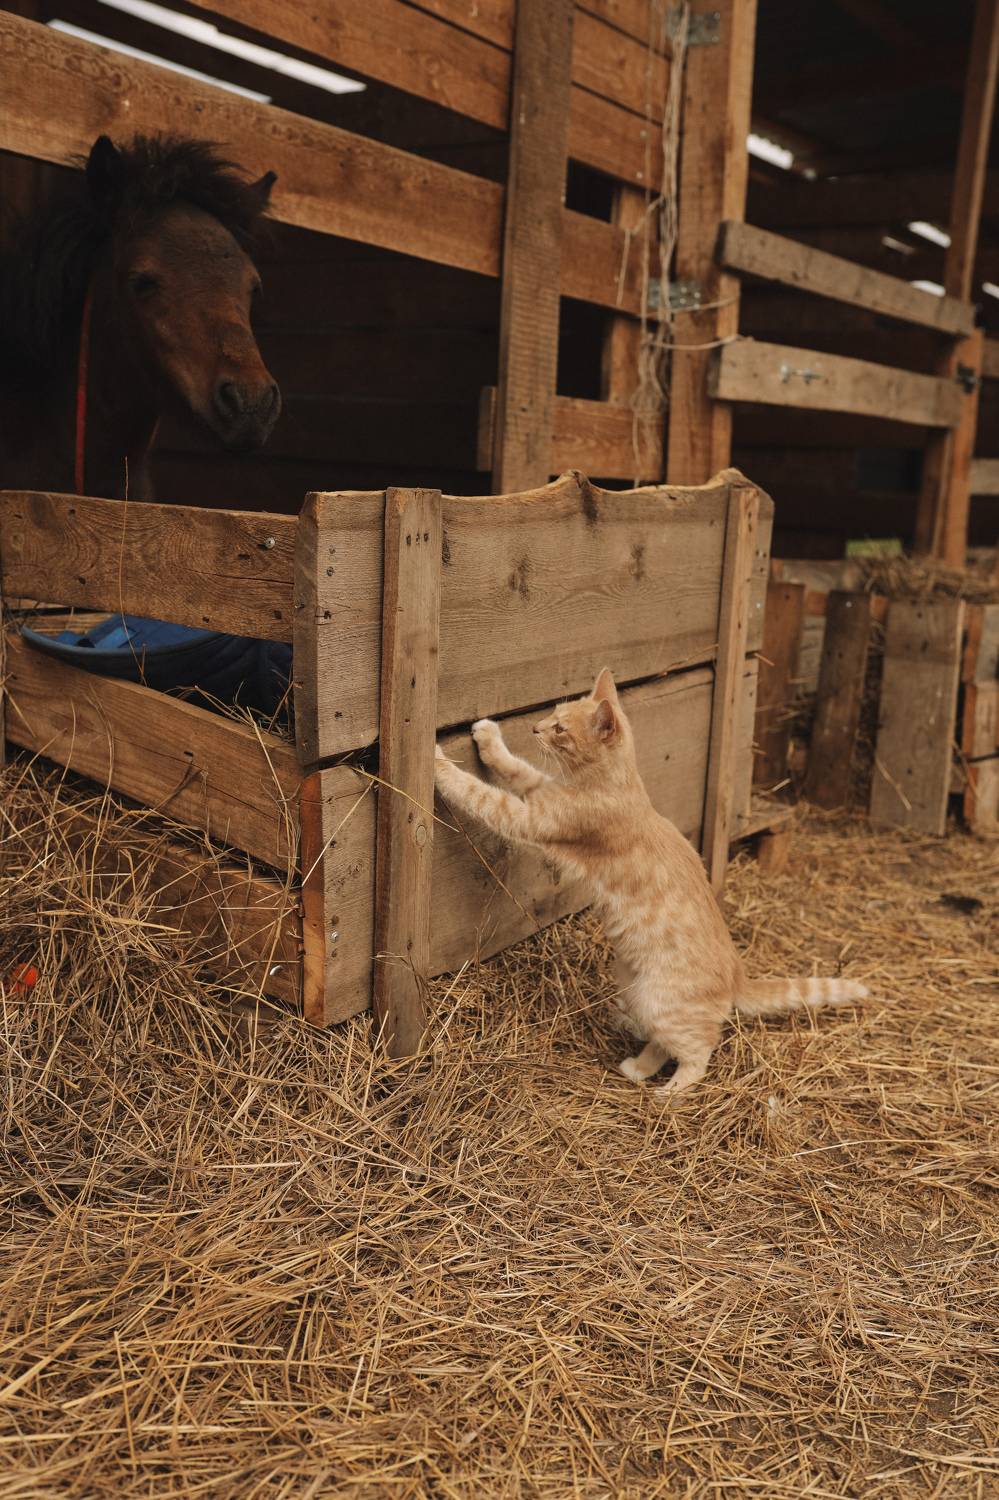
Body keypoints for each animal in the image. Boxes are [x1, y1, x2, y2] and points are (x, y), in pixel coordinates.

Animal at [434, 668, 867, 1096]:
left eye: (560, 728)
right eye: (553, 713)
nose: (536, 728)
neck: (613, 784)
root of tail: (737, 973)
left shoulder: (531, 819)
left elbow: (480, 794)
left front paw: (437, 763)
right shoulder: (543, 791)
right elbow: (517, 768)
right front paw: (488, 739)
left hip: (663, 1005)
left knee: (700, 1050)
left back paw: (671, 1092)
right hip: (634, 990)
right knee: (663, 1043)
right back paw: (638, 1069)